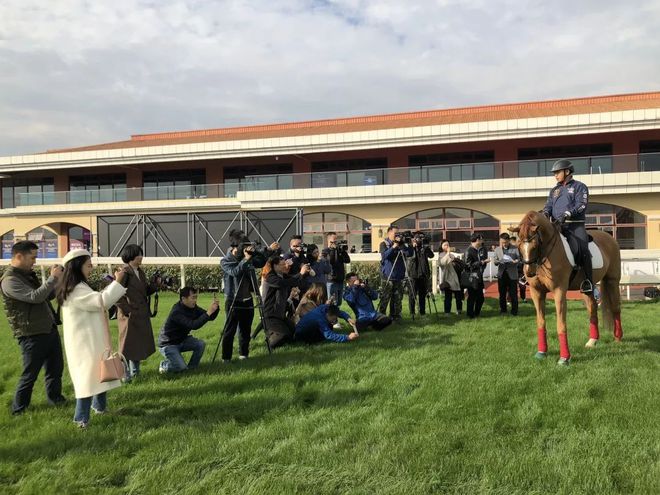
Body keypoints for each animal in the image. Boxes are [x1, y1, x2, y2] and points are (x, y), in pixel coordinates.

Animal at [510, 211, 624, 366]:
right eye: (519, 245)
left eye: (535, 245)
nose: (529, 272)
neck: (547, 253)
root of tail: (610, 238)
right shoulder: (536, 292)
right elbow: (541, 322)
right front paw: (541, 352)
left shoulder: (559, 291)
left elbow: (561, 324)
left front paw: (564, 358)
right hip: (587, 288)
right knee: (592, 309)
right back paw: (592, 341)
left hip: (612, 281)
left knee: (615, 308)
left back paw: (618, 338)